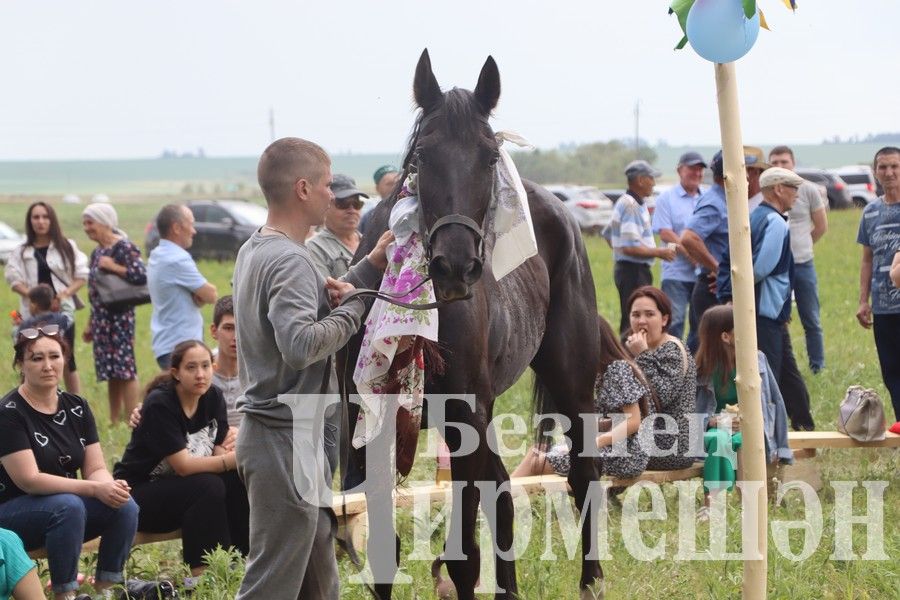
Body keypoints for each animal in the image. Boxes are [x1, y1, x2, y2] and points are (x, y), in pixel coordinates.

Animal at [344, 51, 604, 600]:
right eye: (423, 156)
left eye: (489, 158)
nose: (456, 266)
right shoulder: (368, 419)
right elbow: (382, 551)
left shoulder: (466, 416)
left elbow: (464, 556)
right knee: (502, 491)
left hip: (572, 384)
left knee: (585, 474)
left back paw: (592, 581)